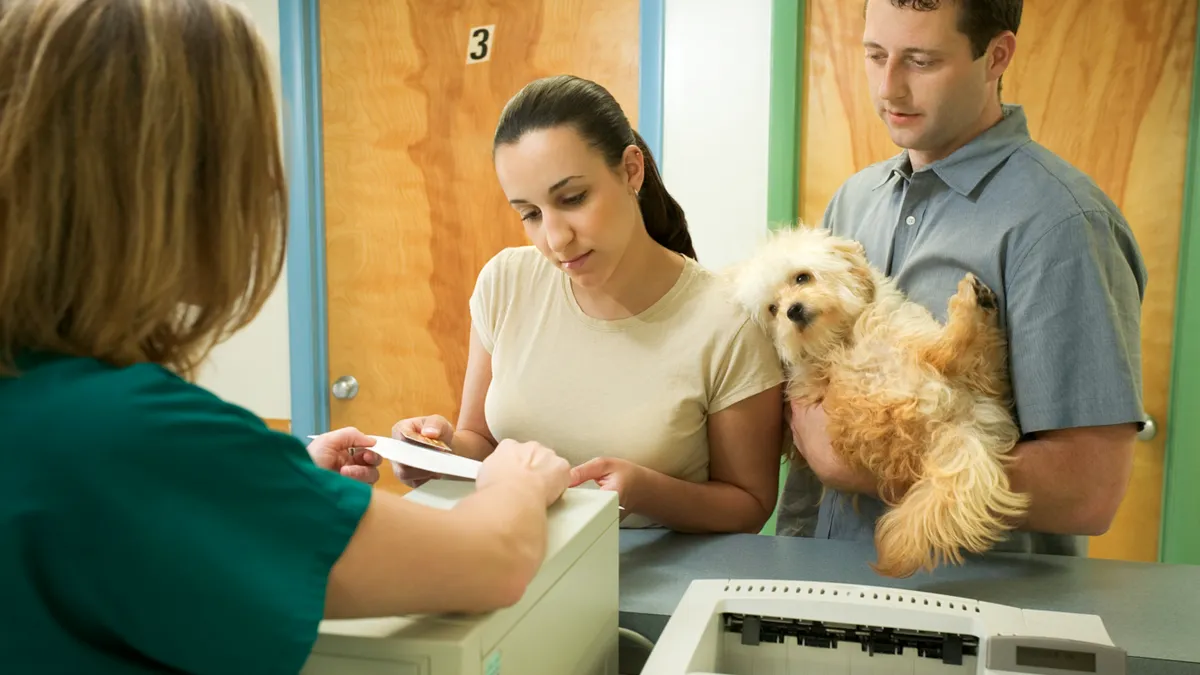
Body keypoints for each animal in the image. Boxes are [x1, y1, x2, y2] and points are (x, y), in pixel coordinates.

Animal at [729, 223, 1032, 576]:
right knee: (951, 354)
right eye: (772, 309)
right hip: (908, 359)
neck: (836, 340)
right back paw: (971, 304)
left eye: (802, 278)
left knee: (982, 370)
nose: (792, 311)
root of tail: (952, 428)